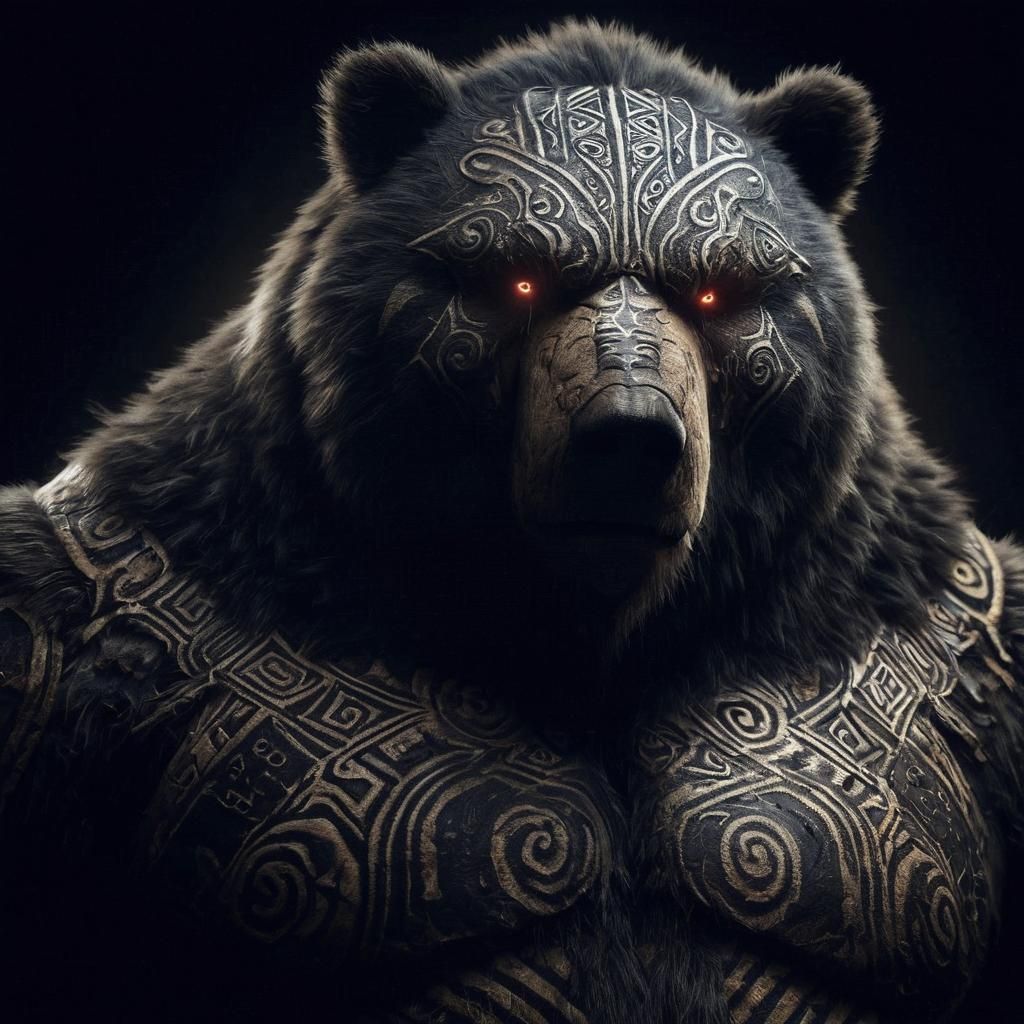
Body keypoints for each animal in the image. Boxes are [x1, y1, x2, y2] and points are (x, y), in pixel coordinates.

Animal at [1, 17, 1022, 1024]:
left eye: (718, 291)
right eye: (520, 279)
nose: (631, 438)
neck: (593, 640)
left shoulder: (941, 639)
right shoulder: (119, 621)